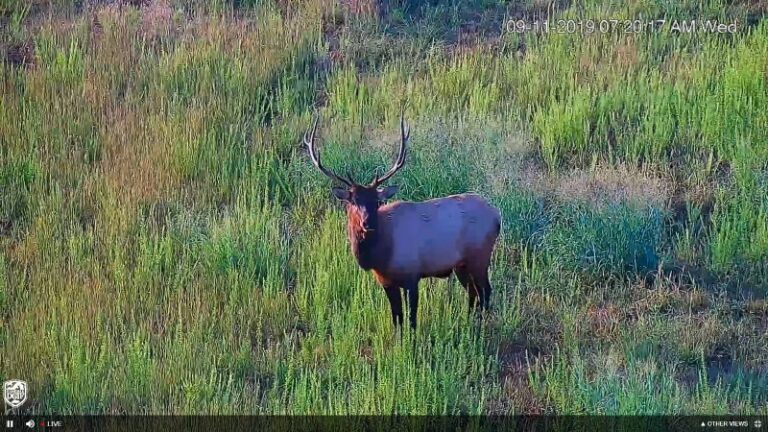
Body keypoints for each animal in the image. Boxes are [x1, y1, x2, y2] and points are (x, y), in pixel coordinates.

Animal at [304, 109, 502, 331]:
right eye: (352, 202)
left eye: (377, 201)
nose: (367, 223)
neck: (381, 255)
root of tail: (497, 216)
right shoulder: (386, 281)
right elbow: (397, 318)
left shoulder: (412, 276)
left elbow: (412, 319)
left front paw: (411, 339)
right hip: (462, 264)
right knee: (473, 293)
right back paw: (469, 323)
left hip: (480, 256)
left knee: (485, 291)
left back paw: (480, 328)